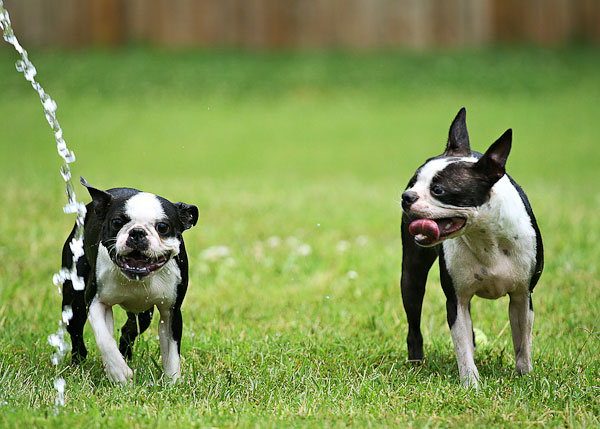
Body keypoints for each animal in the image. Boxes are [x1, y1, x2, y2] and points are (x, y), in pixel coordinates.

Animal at [61, 176, 198, 382]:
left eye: (163, 227)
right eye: (117, 222)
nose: (137, 232)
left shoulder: (171, 312)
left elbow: (172, 353)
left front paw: (172, 382)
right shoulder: (96, 302)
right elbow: (104, 338)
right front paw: (119, 372)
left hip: (144, 314)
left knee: (129, 330)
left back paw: (126, 356)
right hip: (74, 297)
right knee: (76, 331)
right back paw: (79, 362)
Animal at [398, 107, 544, 388]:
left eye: (438, 190)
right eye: (413, 181)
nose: (406, 195)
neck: (485, 238)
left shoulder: (522, 296)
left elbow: (523, 342)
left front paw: (526, 378)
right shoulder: (457, 300)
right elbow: (462, 346)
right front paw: (471, 385)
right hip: (411, 277)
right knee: (414, 324)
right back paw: (416, 362)